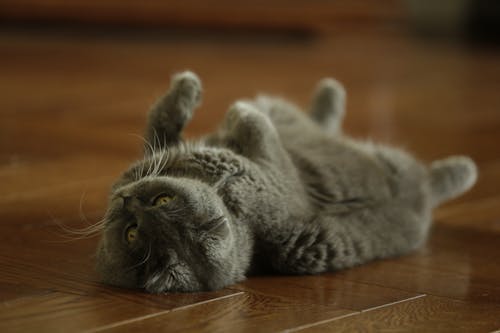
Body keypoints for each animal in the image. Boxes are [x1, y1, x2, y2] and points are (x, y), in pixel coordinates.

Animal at [94, 70, 476, 294]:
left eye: (162, 199)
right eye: (131, 233)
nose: (125, 199)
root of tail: (420, 197)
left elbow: (164, 117)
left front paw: (215, 97)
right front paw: (230, 103)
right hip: (388, 162)